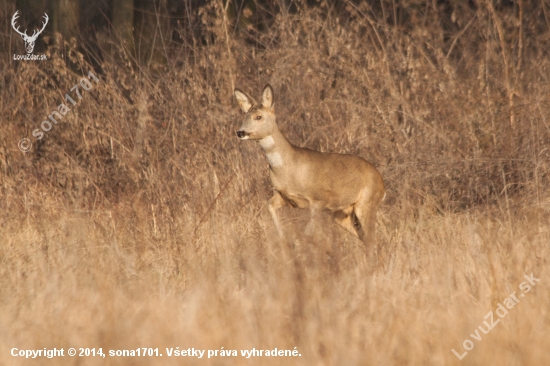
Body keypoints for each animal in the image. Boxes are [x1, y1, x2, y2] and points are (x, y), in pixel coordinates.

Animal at [235, 84, 386, 249]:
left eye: (258, 117)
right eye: (244, 116)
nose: (240, 132)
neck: (289, 169)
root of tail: (382, 182)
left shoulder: (319, 199)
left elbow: (307, 233)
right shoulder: (283, 196)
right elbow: (270, 207)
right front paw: (285, 240)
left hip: (367, 202)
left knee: (371, 240)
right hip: (341, 213)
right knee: (365, 239)